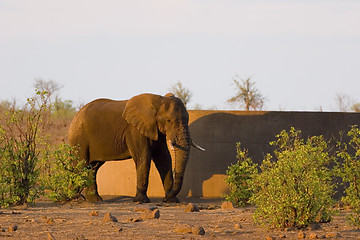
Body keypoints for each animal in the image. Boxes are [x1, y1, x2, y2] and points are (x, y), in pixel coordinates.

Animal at [67, 93, 202, 202]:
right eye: (168, 120)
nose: (167, 196)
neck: (158, 100)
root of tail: (75, 116)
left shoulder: (156, 130)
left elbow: (163, 158)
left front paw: (171, 200)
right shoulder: (134, 130)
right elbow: (143, 156)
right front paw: (141, 201)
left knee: (93, 167)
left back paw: (94, 200)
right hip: (79, 138)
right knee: (80, 165)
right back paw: (73, 198)